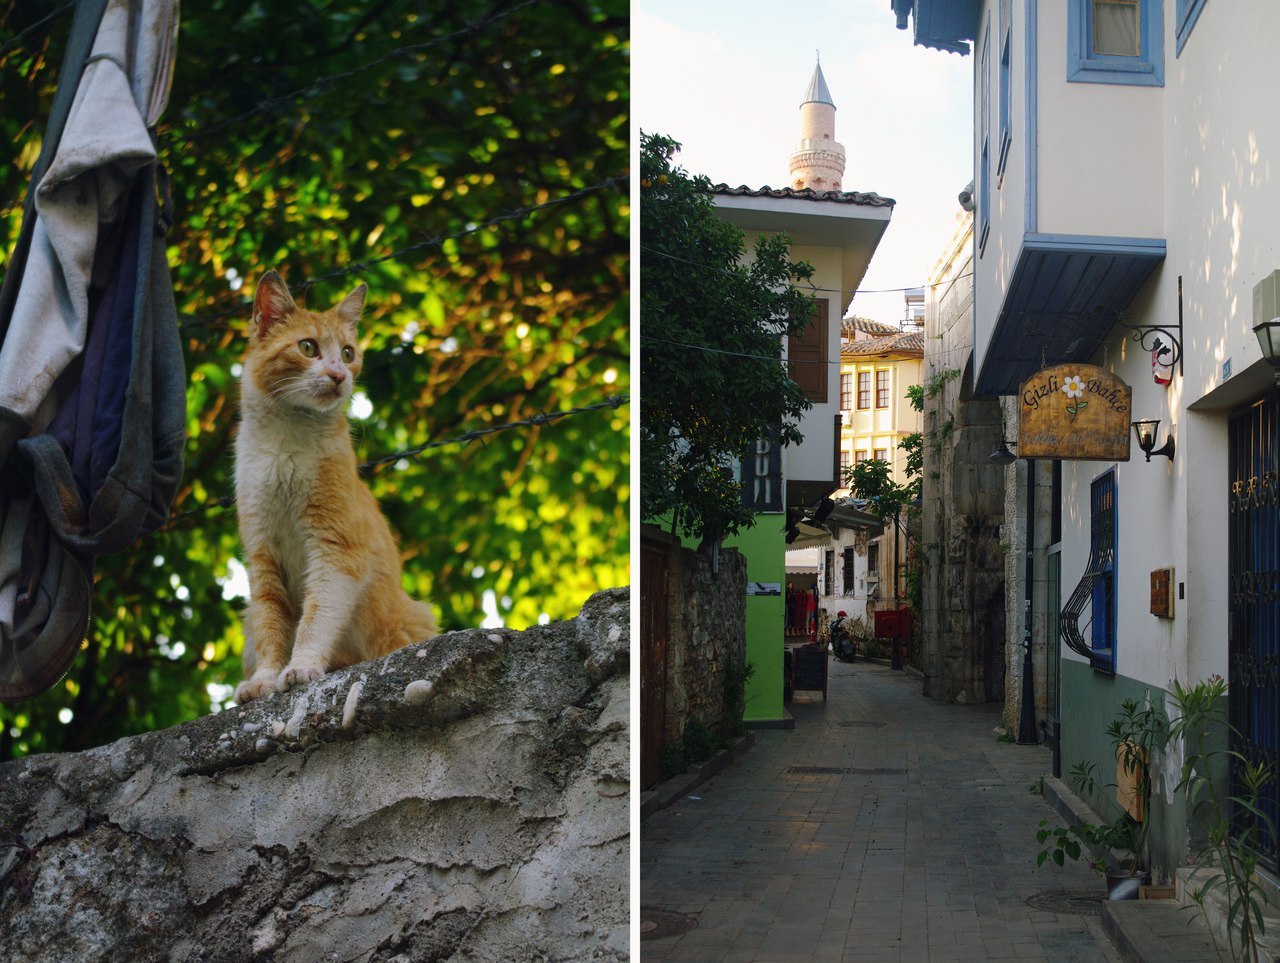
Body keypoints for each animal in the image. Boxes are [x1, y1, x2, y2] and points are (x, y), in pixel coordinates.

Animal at [227, 267, 432, 701]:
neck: (285, 445)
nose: (339, 375)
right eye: (307, 347)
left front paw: (302, 666)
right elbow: (272, 625)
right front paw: (265, 678)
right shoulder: (263, 557)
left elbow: (317, 615)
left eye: (349, 353)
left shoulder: (336, 549)